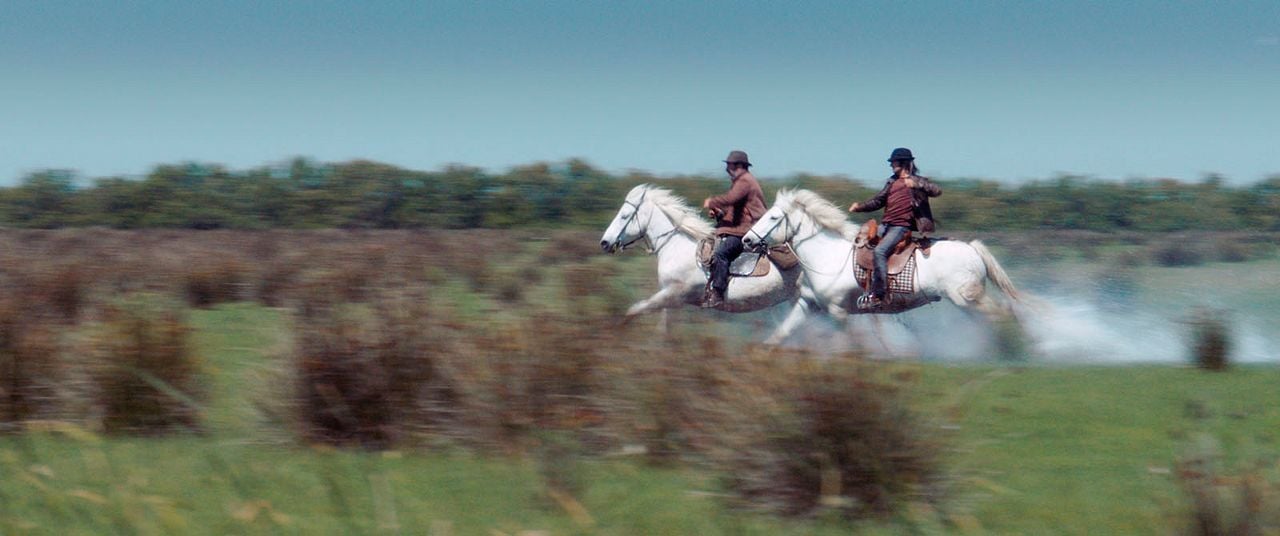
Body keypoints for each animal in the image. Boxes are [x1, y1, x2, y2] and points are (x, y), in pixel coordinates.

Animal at [599, 184, 808, 345]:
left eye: (625, 215)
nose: (605, 243)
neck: (676, 246)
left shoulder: (673, 293)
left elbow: (636, 309)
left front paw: (616, 332)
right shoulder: (671, 299)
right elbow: (664, 328)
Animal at [742, 189, 1018, 353]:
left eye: (773, 217)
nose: (747, 240)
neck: (827, 257)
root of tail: (972, 248)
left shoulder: (838, 311)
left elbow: (848, 342)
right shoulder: (808, 304)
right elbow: (782, 332)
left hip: (966, 298)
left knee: (999, 315)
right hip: (966, 302)